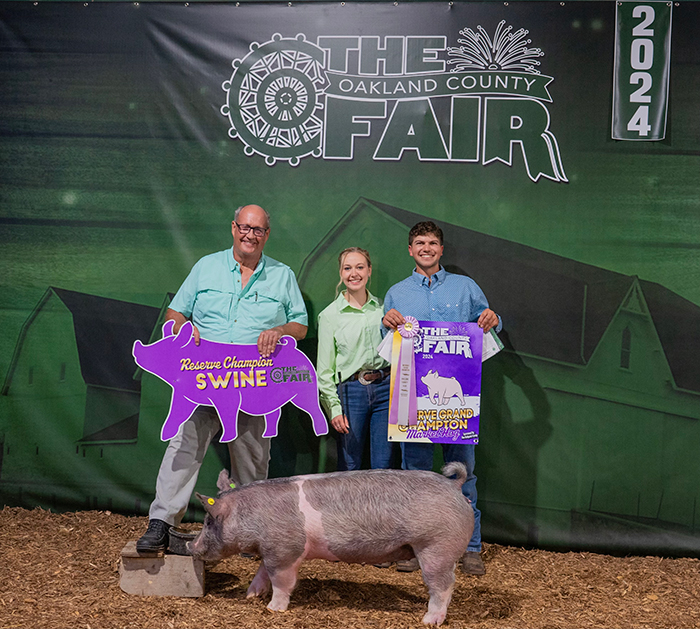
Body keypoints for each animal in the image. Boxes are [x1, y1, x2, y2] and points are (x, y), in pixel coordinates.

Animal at [132, 320, 328, 442]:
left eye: (161, 350)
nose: (137, 347)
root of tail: (293, 348)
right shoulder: (183, 397)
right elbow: (176, 415)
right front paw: (166, 436)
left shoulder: (228, 397)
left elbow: (228, 417)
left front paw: (225, 439)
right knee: (274, 414)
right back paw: (268, 434)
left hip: (305, 390)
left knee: (314, 410)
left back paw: (321, 431)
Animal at [188, 463, 475, 626]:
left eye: (209, 521)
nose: (192, 546)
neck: (252, 516)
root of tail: (454, 486)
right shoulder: (271, 549)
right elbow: (261, 573)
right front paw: (250, 595)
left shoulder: (286, 550)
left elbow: (281, 581)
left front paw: (273, 609)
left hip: (435, 546)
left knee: (444, 585)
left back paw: (428, 621)